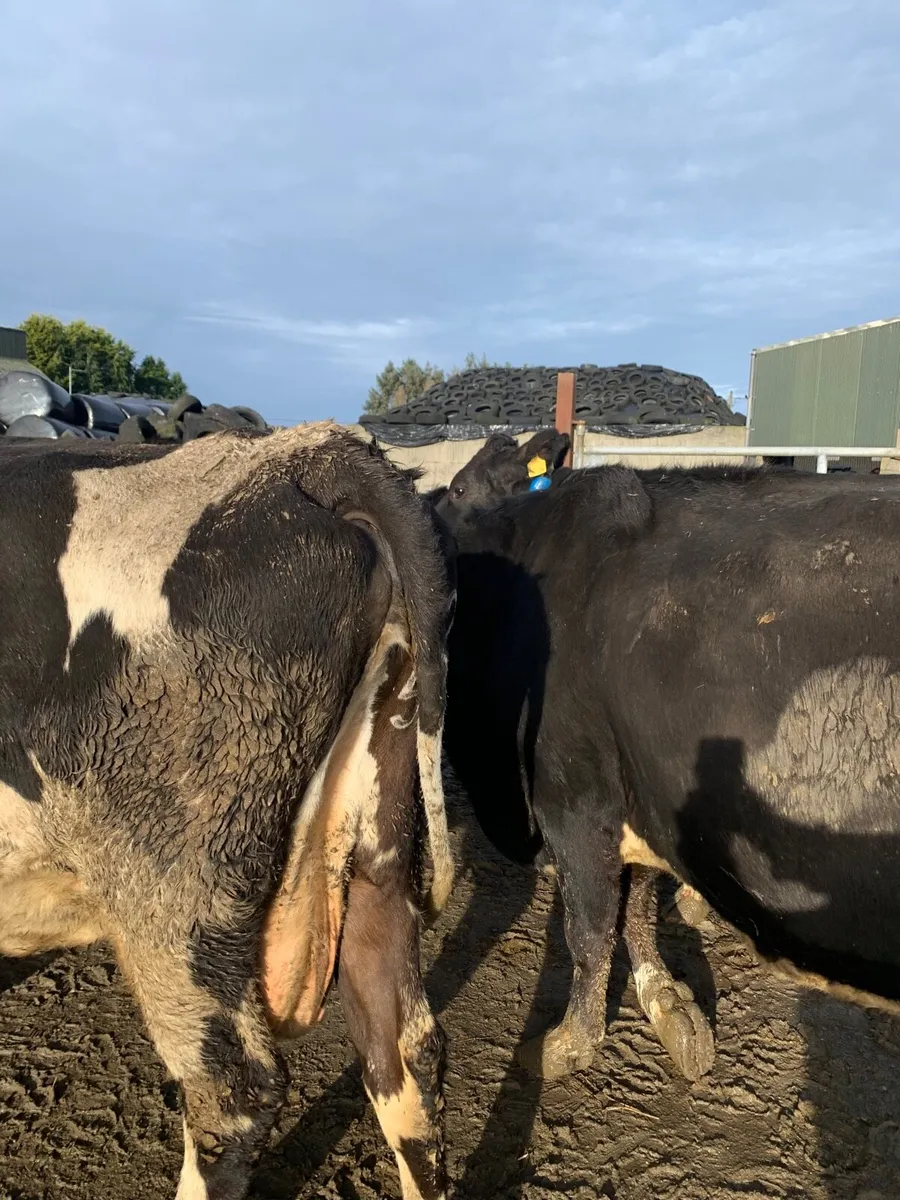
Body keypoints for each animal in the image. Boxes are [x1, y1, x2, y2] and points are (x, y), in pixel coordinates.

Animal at [437, 455, 900, 1089]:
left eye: (459, 488)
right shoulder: (644, 803)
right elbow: (634, 911)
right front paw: (667, 1002)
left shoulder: (576, 803)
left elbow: (590, 930)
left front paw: (569, 1043)